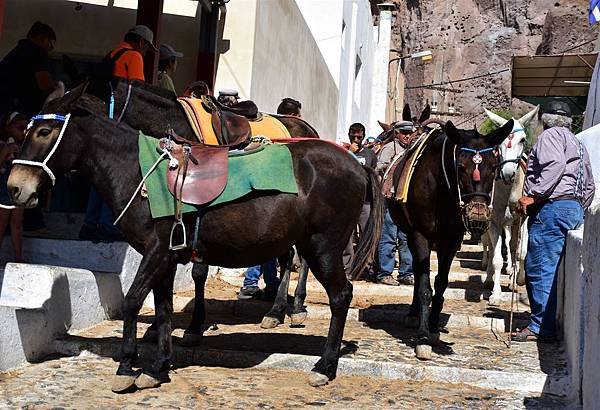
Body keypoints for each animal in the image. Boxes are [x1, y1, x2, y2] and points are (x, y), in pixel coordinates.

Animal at [8, 90, 384, 394]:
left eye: (44, 131)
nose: (14, 187)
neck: (140, 170)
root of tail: (356, 164)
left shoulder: (157, 251)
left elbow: (132, 302)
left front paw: (126, 368)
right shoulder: (165, 257)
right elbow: (162, 309)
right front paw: (158, 367)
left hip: (324, 246)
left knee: (340, 295)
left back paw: (323, 364)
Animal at [386, 118, 512, 358]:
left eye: (493, 167)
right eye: (460, 167)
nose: (477, 216)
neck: (443, 191)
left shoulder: (452, 241)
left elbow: (441, 284)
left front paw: (434, 327)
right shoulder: (420, 236)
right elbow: (425, 286)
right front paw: (423, 337)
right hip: (409, 234)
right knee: (417, 271)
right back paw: (414, 313)